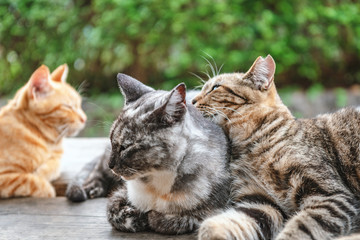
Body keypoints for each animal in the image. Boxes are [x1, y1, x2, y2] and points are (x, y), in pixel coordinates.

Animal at [0, 63, 86, 197]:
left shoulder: (57, 156)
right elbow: (28, 180)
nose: (84, 118)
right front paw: (47, 188)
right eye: (67, 106)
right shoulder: (4, 175)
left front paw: (42, 172)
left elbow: (54, 165)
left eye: (79, 105)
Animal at [67, 73, 231, 234]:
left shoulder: (217, 210)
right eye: (112, 141)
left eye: (126, 146)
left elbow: (178, 219)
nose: (111, 165)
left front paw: (151, 216)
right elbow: (113, 211)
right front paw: (136, 217)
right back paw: (90, 189)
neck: (157, 182)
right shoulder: (123, 192)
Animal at [193, 54, 360, 240]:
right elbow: (224, 223)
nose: (191, 100)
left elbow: (299, 228)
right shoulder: (260, 202)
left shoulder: (331, 195)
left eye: (215, 87)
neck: (249, 147)